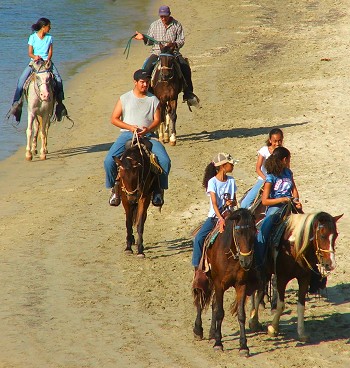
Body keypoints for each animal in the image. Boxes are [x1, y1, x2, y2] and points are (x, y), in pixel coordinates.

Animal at [191, 210, 260, 356]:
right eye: (238, 232)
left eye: (253, 232)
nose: (246, 261)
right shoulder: (219, 284)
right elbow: (219, 312)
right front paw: (218, 344)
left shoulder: (241, 285)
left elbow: (241, 314)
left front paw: (243, 346)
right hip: (204, 276)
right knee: (200, 298)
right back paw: (198, 330)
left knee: (213, 304)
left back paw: (212, 334)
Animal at [249, 213, 342, 342]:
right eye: (322, 235)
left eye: (336, 235)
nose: (331, 264)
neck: (294, 247)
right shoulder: (281, 278)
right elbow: (281, 305)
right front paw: (273, 328)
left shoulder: (304, 279)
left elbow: (301, 306)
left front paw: (302, 333)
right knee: (256, 292)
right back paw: (253, 320)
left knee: (260, 292)